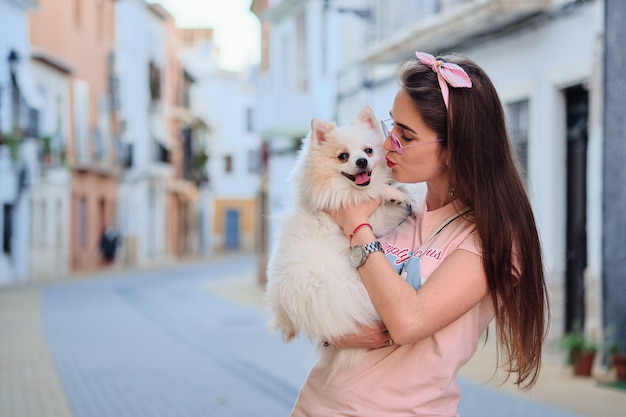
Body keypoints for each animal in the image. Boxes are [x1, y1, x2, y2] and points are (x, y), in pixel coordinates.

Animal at [266, 104, 412, 376]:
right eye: (343, 156)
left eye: (368, 151)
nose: (362, 161)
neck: (348, 192)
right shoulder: (358, 218)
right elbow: (377, 196)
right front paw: (395, 194)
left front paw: (401, 193)